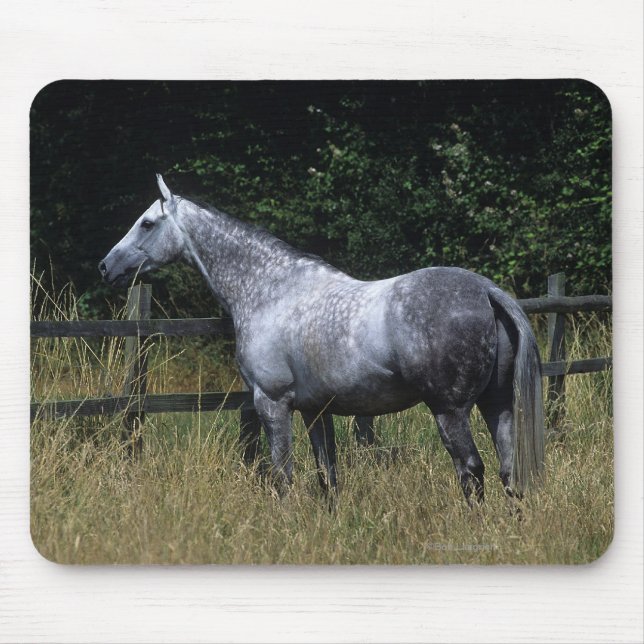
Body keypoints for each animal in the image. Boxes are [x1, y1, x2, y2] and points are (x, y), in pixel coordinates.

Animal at [99, 174, 544, 503]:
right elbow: (327, 476)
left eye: (147, 223)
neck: (271, 291)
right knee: (508, 470)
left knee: (471, 472)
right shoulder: (316, 411)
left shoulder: (273, 403)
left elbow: (282, 476)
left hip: (450, 410)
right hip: (497, 405)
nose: (106, 267)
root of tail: (486, 290)